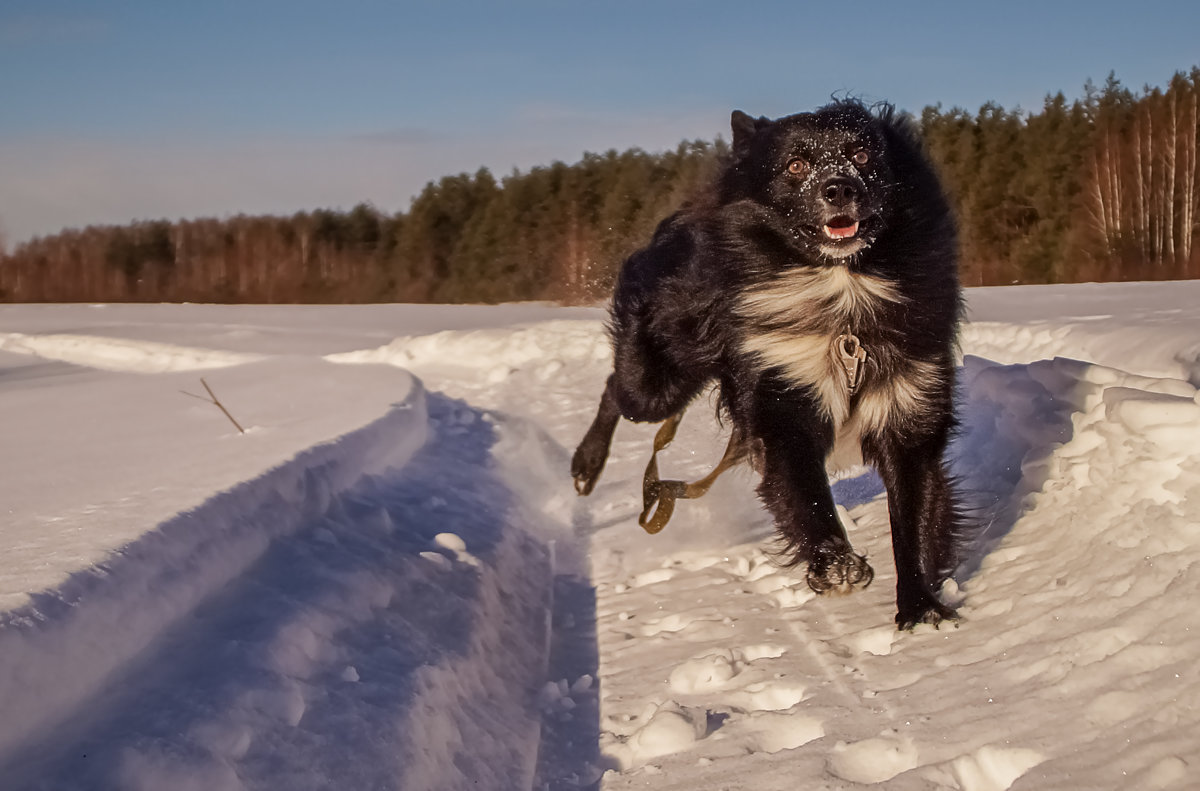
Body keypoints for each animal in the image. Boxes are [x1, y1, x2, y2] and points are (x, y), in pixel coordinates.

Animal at [573, 99, 964, 628]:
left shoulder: (910, 402)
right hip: (656, 382)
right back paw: (586, 463)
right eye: (795, 166)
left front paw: (922, 611)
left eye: (862, 155)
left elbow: (913, 514)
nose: (839, 187)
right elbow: (806, 494)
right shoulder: (783, 401)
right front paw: (835, 567)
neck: (845, 303)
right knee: (617, 388)